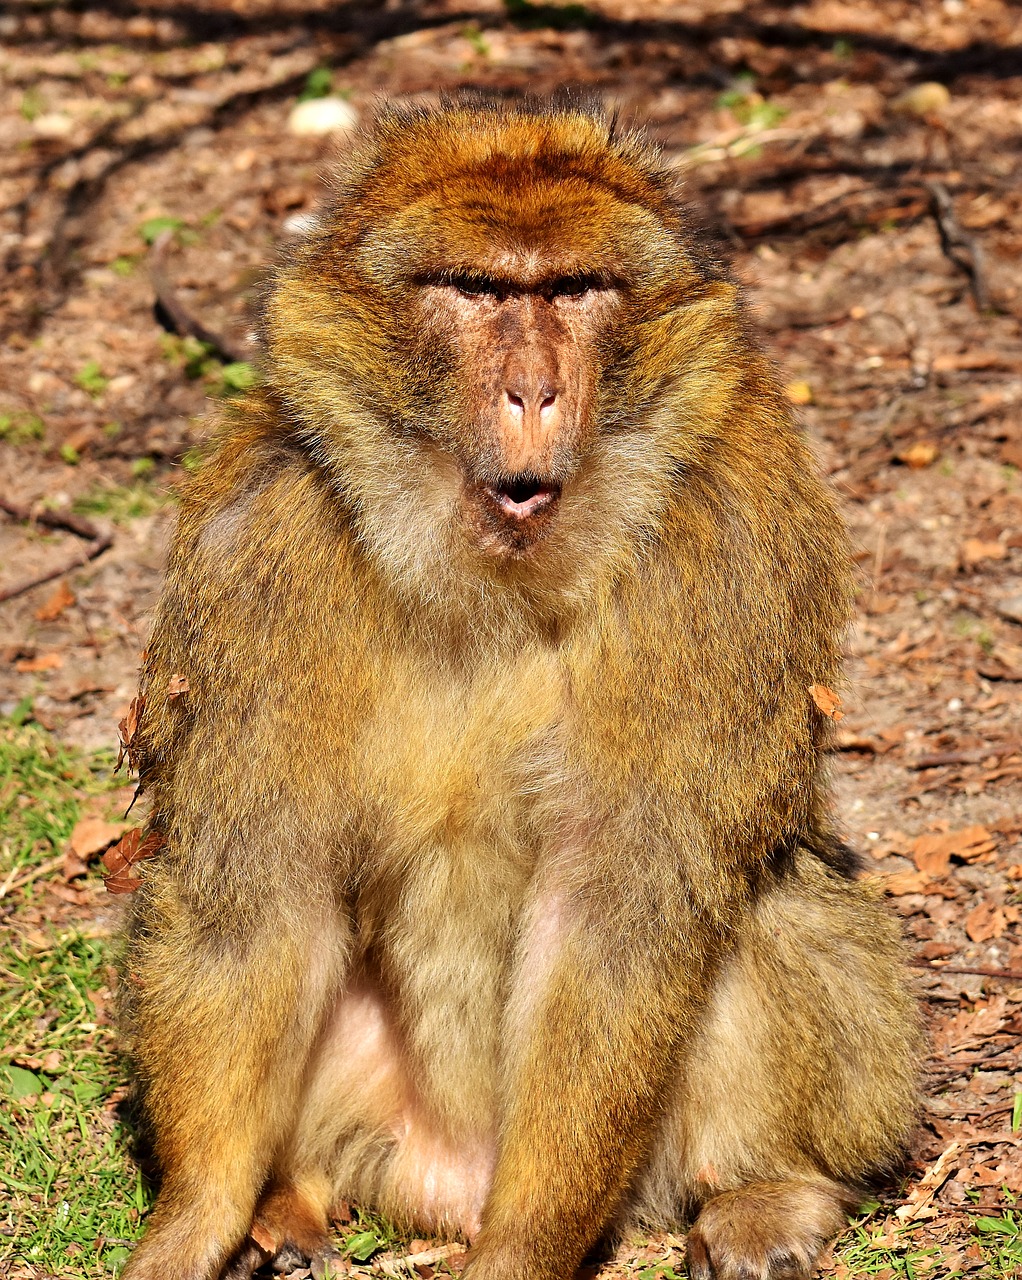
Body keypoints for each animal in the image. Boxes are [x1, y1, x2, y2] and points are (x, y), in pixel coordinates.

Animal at [117, 102, 922, 1280]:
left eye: (574, 290)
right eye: (479, 290)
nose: (533, 389)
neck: (485, 578)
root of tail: (451, 1178)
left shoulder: (722, 541)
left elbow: (617, 906)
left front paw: (523, 1247)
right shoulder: (256, 538)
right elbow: (253, 893)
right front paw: (197, 1219)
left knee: (771, 904)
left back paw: (767, 1191)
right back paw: (287, 1198)